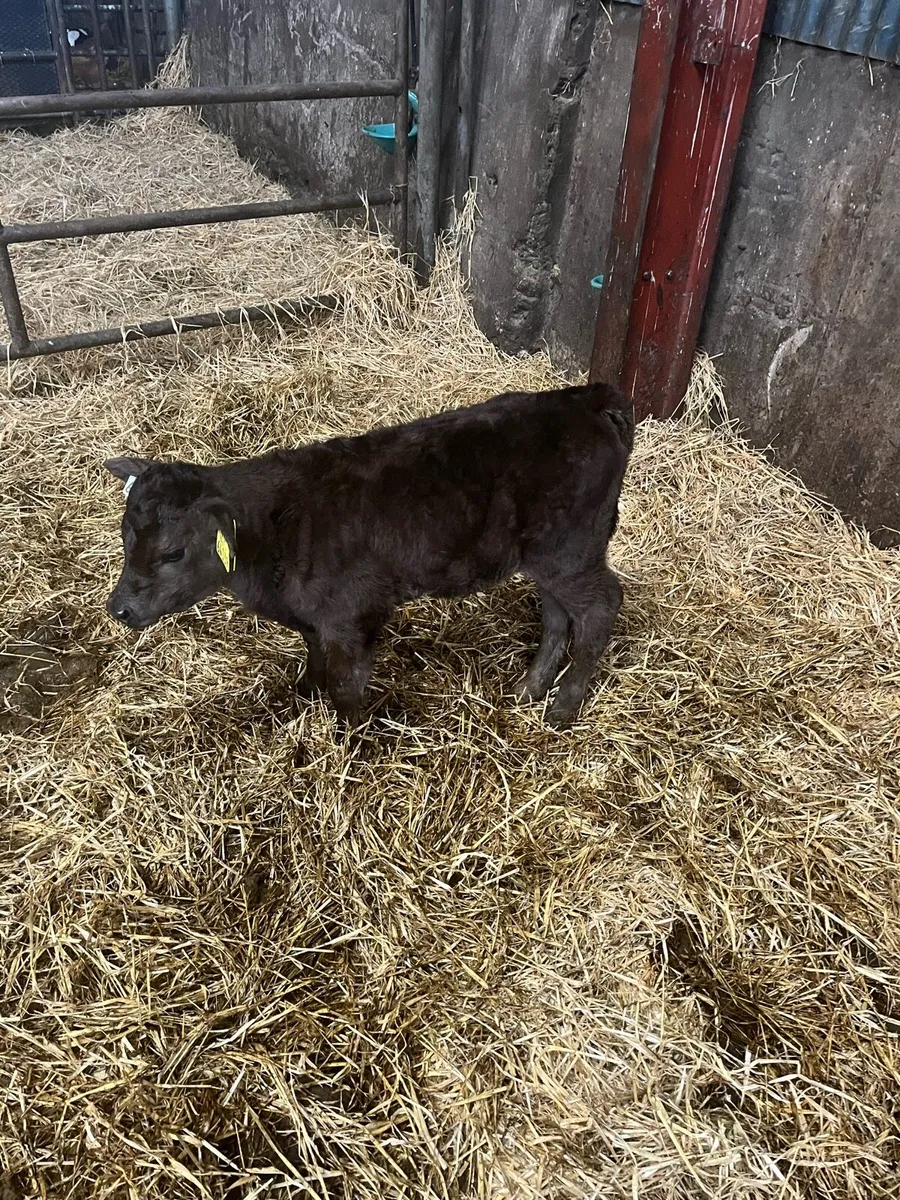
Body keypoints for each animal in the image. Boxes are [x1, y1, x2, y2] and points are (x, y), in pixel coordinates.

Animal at [105, 383, 634, 728]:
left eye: (173, 553)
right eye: (125, 536)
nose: (119, 609)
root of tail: (586, 398)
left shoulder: (351, 615)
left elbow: (347, 686)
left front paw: (347, 738)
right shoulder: (315, 618)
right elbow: (313, 656)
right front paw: (303, 694)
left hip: (571, 551)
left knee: (600, 606)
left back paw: (564, 706)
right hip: (547, 558)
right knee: (558, 615)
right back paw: (532, 687)